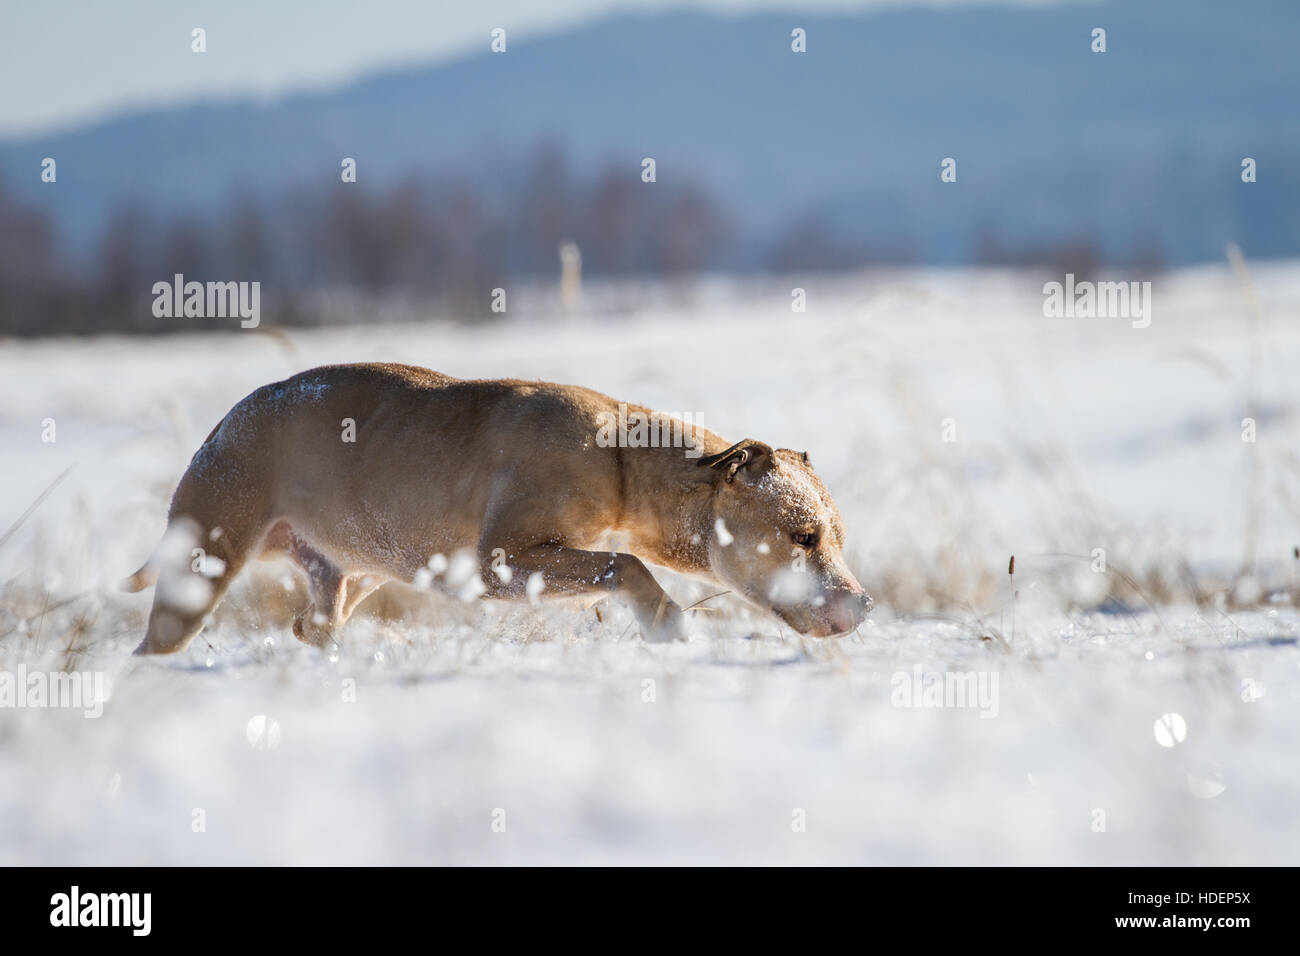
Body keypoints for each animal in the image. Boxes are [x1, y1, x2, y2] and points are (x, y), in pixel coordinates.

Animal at [124, 361, 873, 655]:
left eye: (836, 536)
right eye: (803, 536)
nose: (863, 603)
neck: (624, 463)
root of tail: (224, 423)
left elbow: (616, 563)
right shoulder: (501, 562)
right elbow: (624, 565)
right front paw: (668, 625)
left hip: (349, 574)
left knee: (315, 624)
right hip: (202, 564)